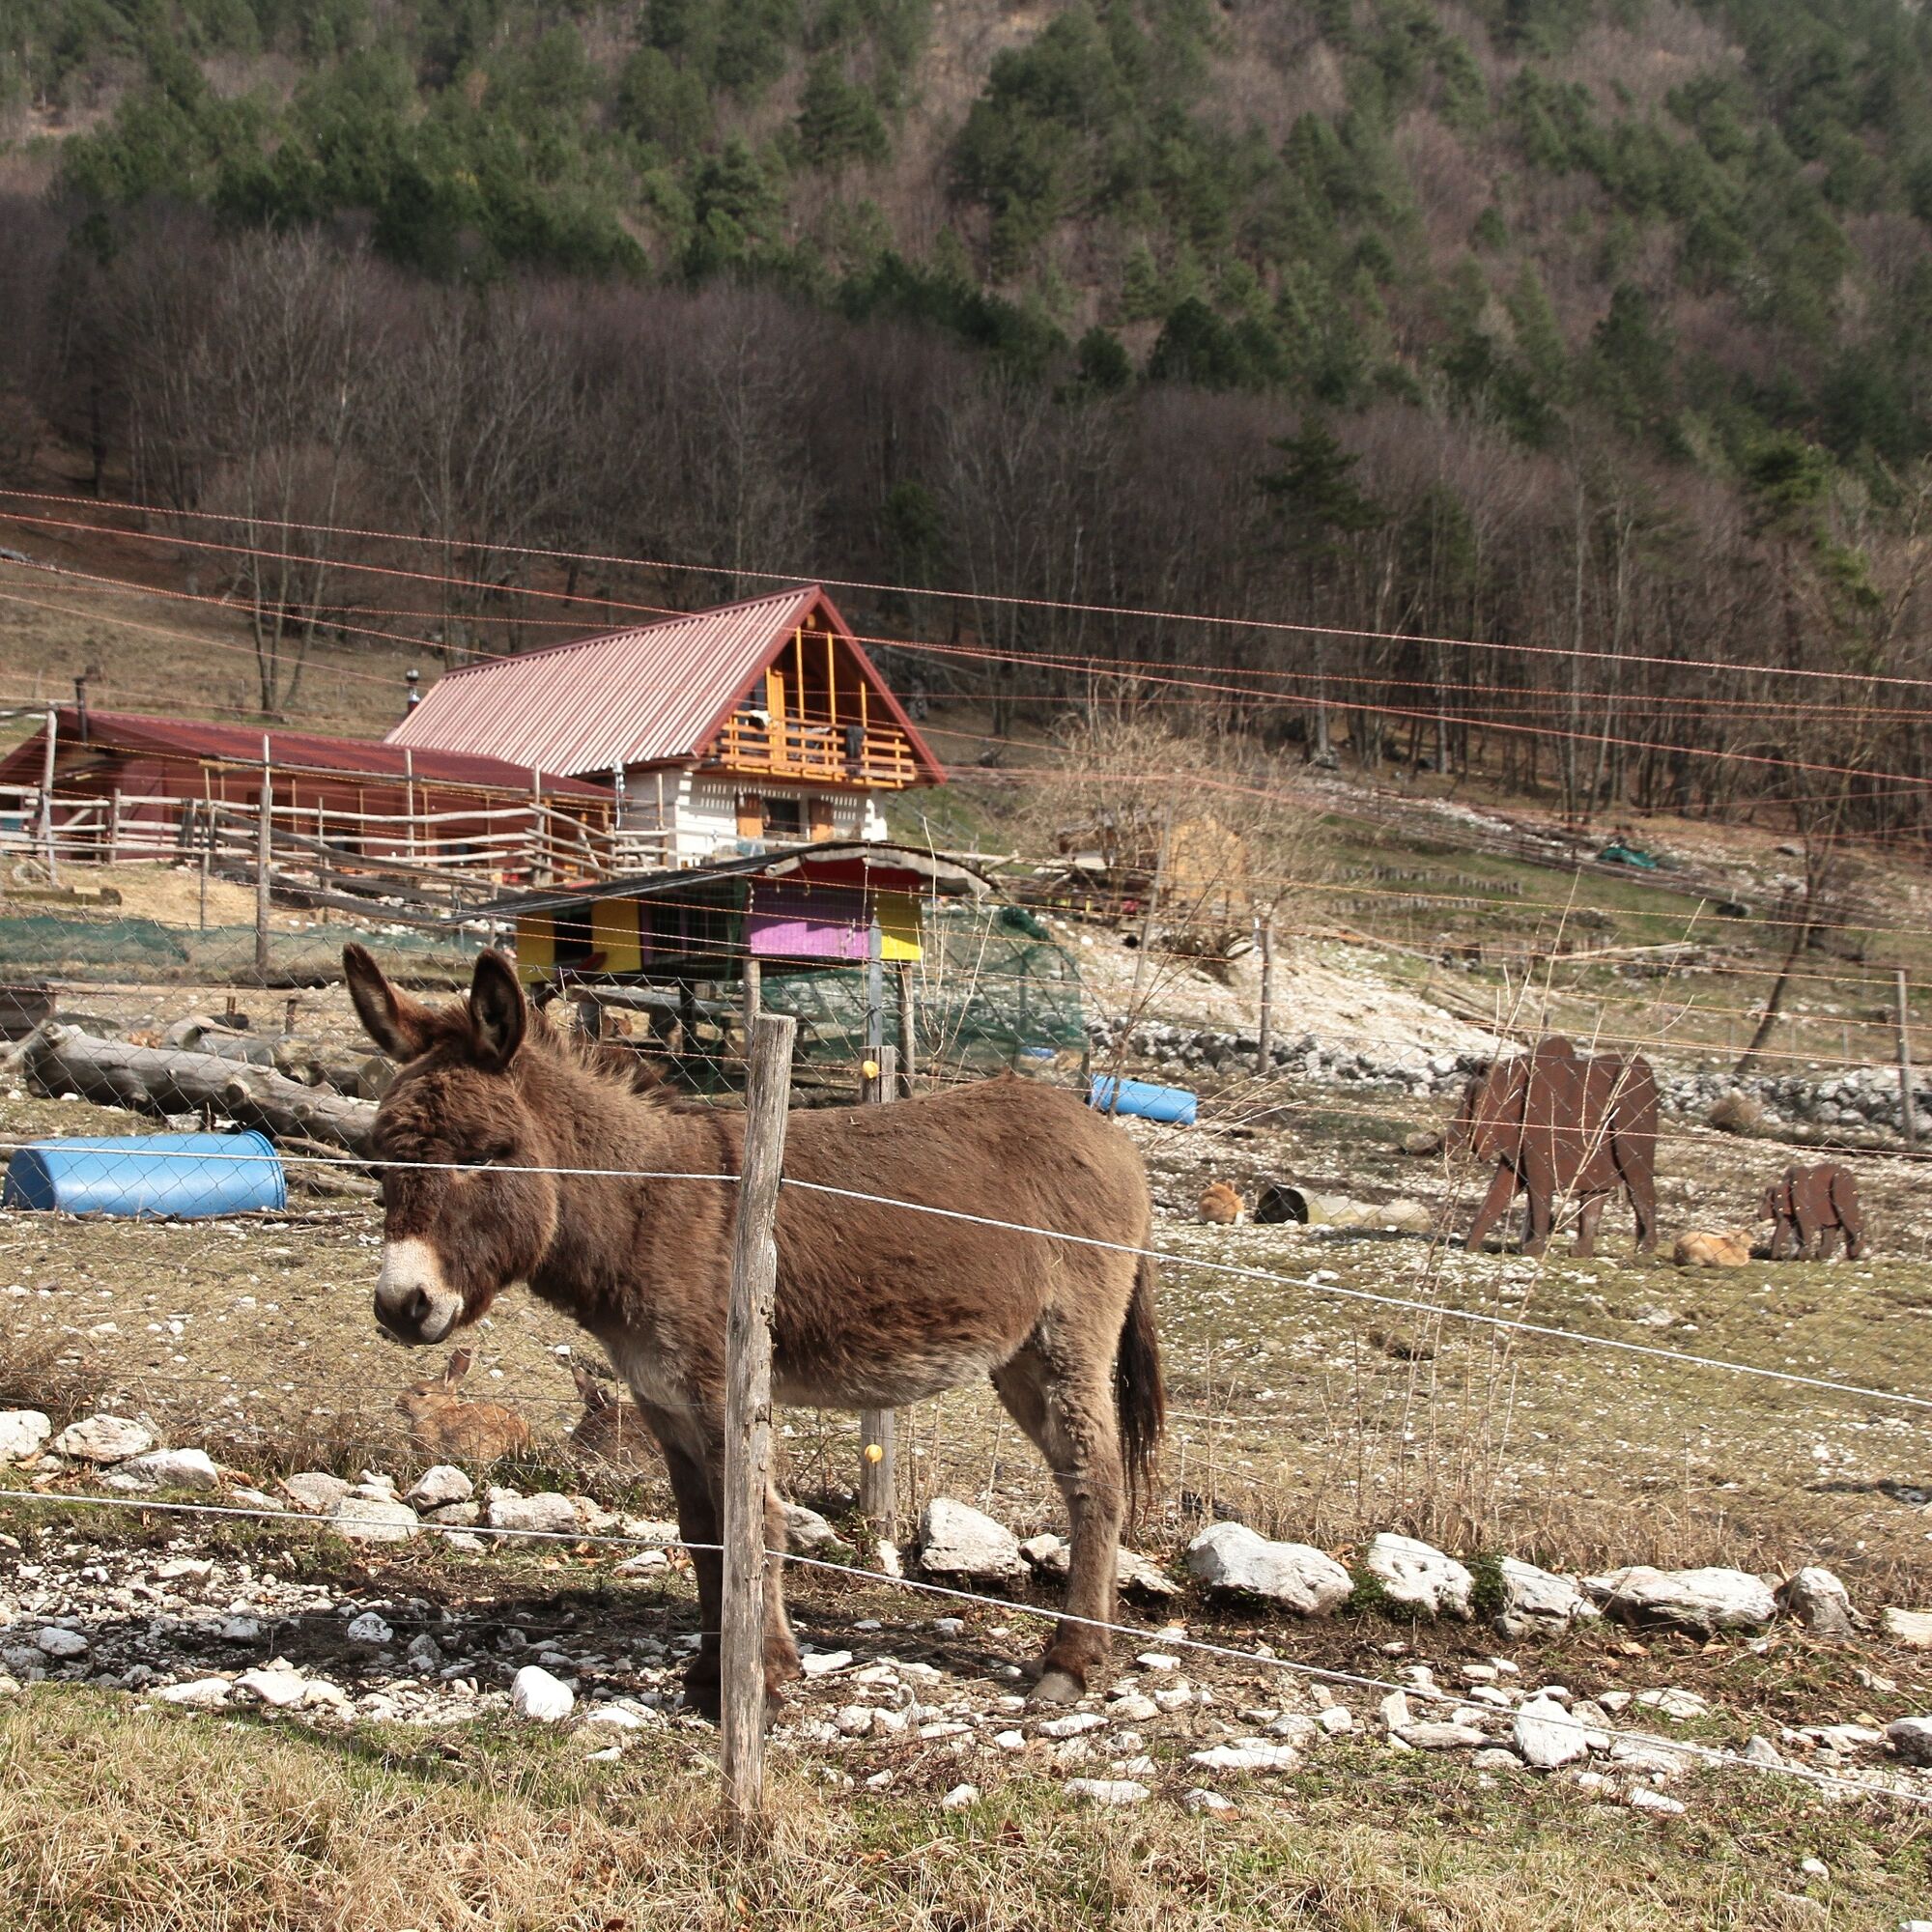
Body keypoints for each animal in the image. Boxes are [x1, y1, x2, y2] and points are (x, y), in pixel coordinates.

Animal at [342, 944, 1164, 1716]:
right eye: (380, 1161)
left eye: (481, 1155)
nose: (400, 1306)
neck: (642, 1207)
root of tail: (1110, 1135)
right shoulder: (661, 1401)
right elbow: (702, 1532)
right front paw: (710, 1675)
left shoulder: (721, 1391)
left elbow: (753, 1524)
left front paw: (761, 1678)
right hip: (1018, 1358)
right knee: (1084, 1476)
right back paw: (1085, 1646)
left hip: (1067, 1341)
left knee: (1096, 1477)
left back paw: (1068, 1664)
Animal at [1449, 1036, 1659, 1257]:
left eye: (1469, 1102)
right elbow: (1507, 1182)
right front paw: (1471, 1249)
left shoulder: (1540, 1122)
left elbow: (1537, 1180)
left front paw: (1531, 1251)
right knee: (1596, 1190)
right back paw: (1579, 1253)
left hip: (1632, 1116)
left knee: (1636, 1177)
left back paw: (1643, 1251)